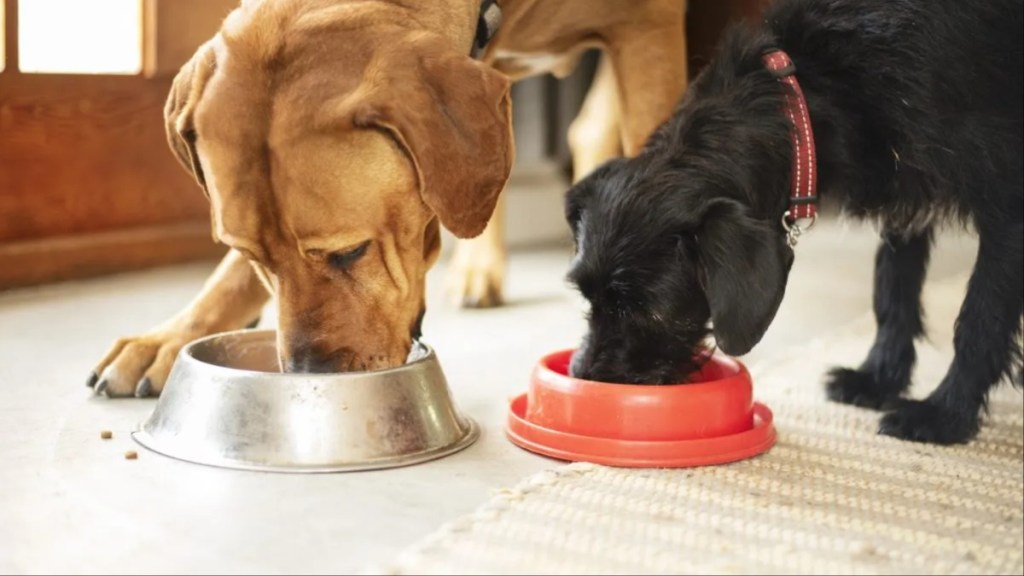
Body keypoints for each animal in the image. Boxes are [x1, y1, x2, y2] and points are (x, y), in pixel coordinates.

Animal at [88, 0, 688, 393]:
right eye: (253, 256)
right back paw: (482, 270)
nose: (307, 376)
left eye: (351, 252)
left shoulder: (647, 26)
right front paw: (176, 335)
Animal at [565, 0, 1019, 444]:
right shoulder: (904, 186)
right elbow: (893, 287)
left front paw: (945, 415)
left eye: (648, 311)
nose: (585, 376)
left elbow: (979, 319)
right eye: (587, 298)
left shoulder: (1005, 202)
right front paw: (878, 379)